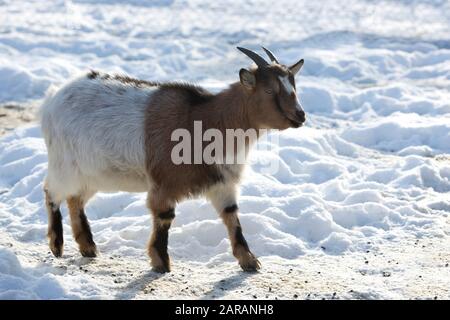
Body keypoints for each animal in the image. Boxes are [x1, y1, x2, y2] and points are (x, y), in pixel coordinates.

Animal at [40, 47, 306, 272]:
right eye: (269, 90)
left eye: (294, 86)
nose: (300, 115)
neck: (204, 120)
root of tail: (53, 98)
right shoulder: (164, 184)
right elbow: (164, 217)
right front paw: (161, 262)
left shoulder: (222, 183)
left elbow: (232, 217)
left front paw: (249, 261)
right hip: (65, 164)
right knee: (51, 191)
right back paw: (57, 245)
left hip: (93, 174)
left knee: (75, 200)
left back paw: (88, 247)